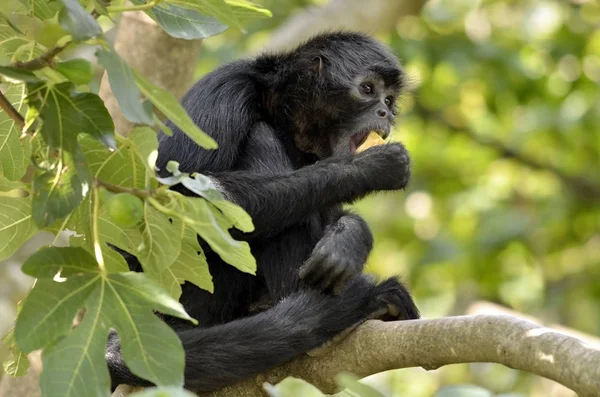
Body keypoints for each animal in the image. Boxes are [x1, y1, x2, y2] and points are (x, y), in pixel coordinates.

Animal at [106, 31, 418, 390]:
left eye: (390, 100)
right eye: (367, 89)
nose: (385, 113)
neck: (279, 111)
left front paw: (349, 238)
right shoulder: (223, 91)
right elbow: (173, 201)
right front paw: (370, 167)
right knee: (259, 135)